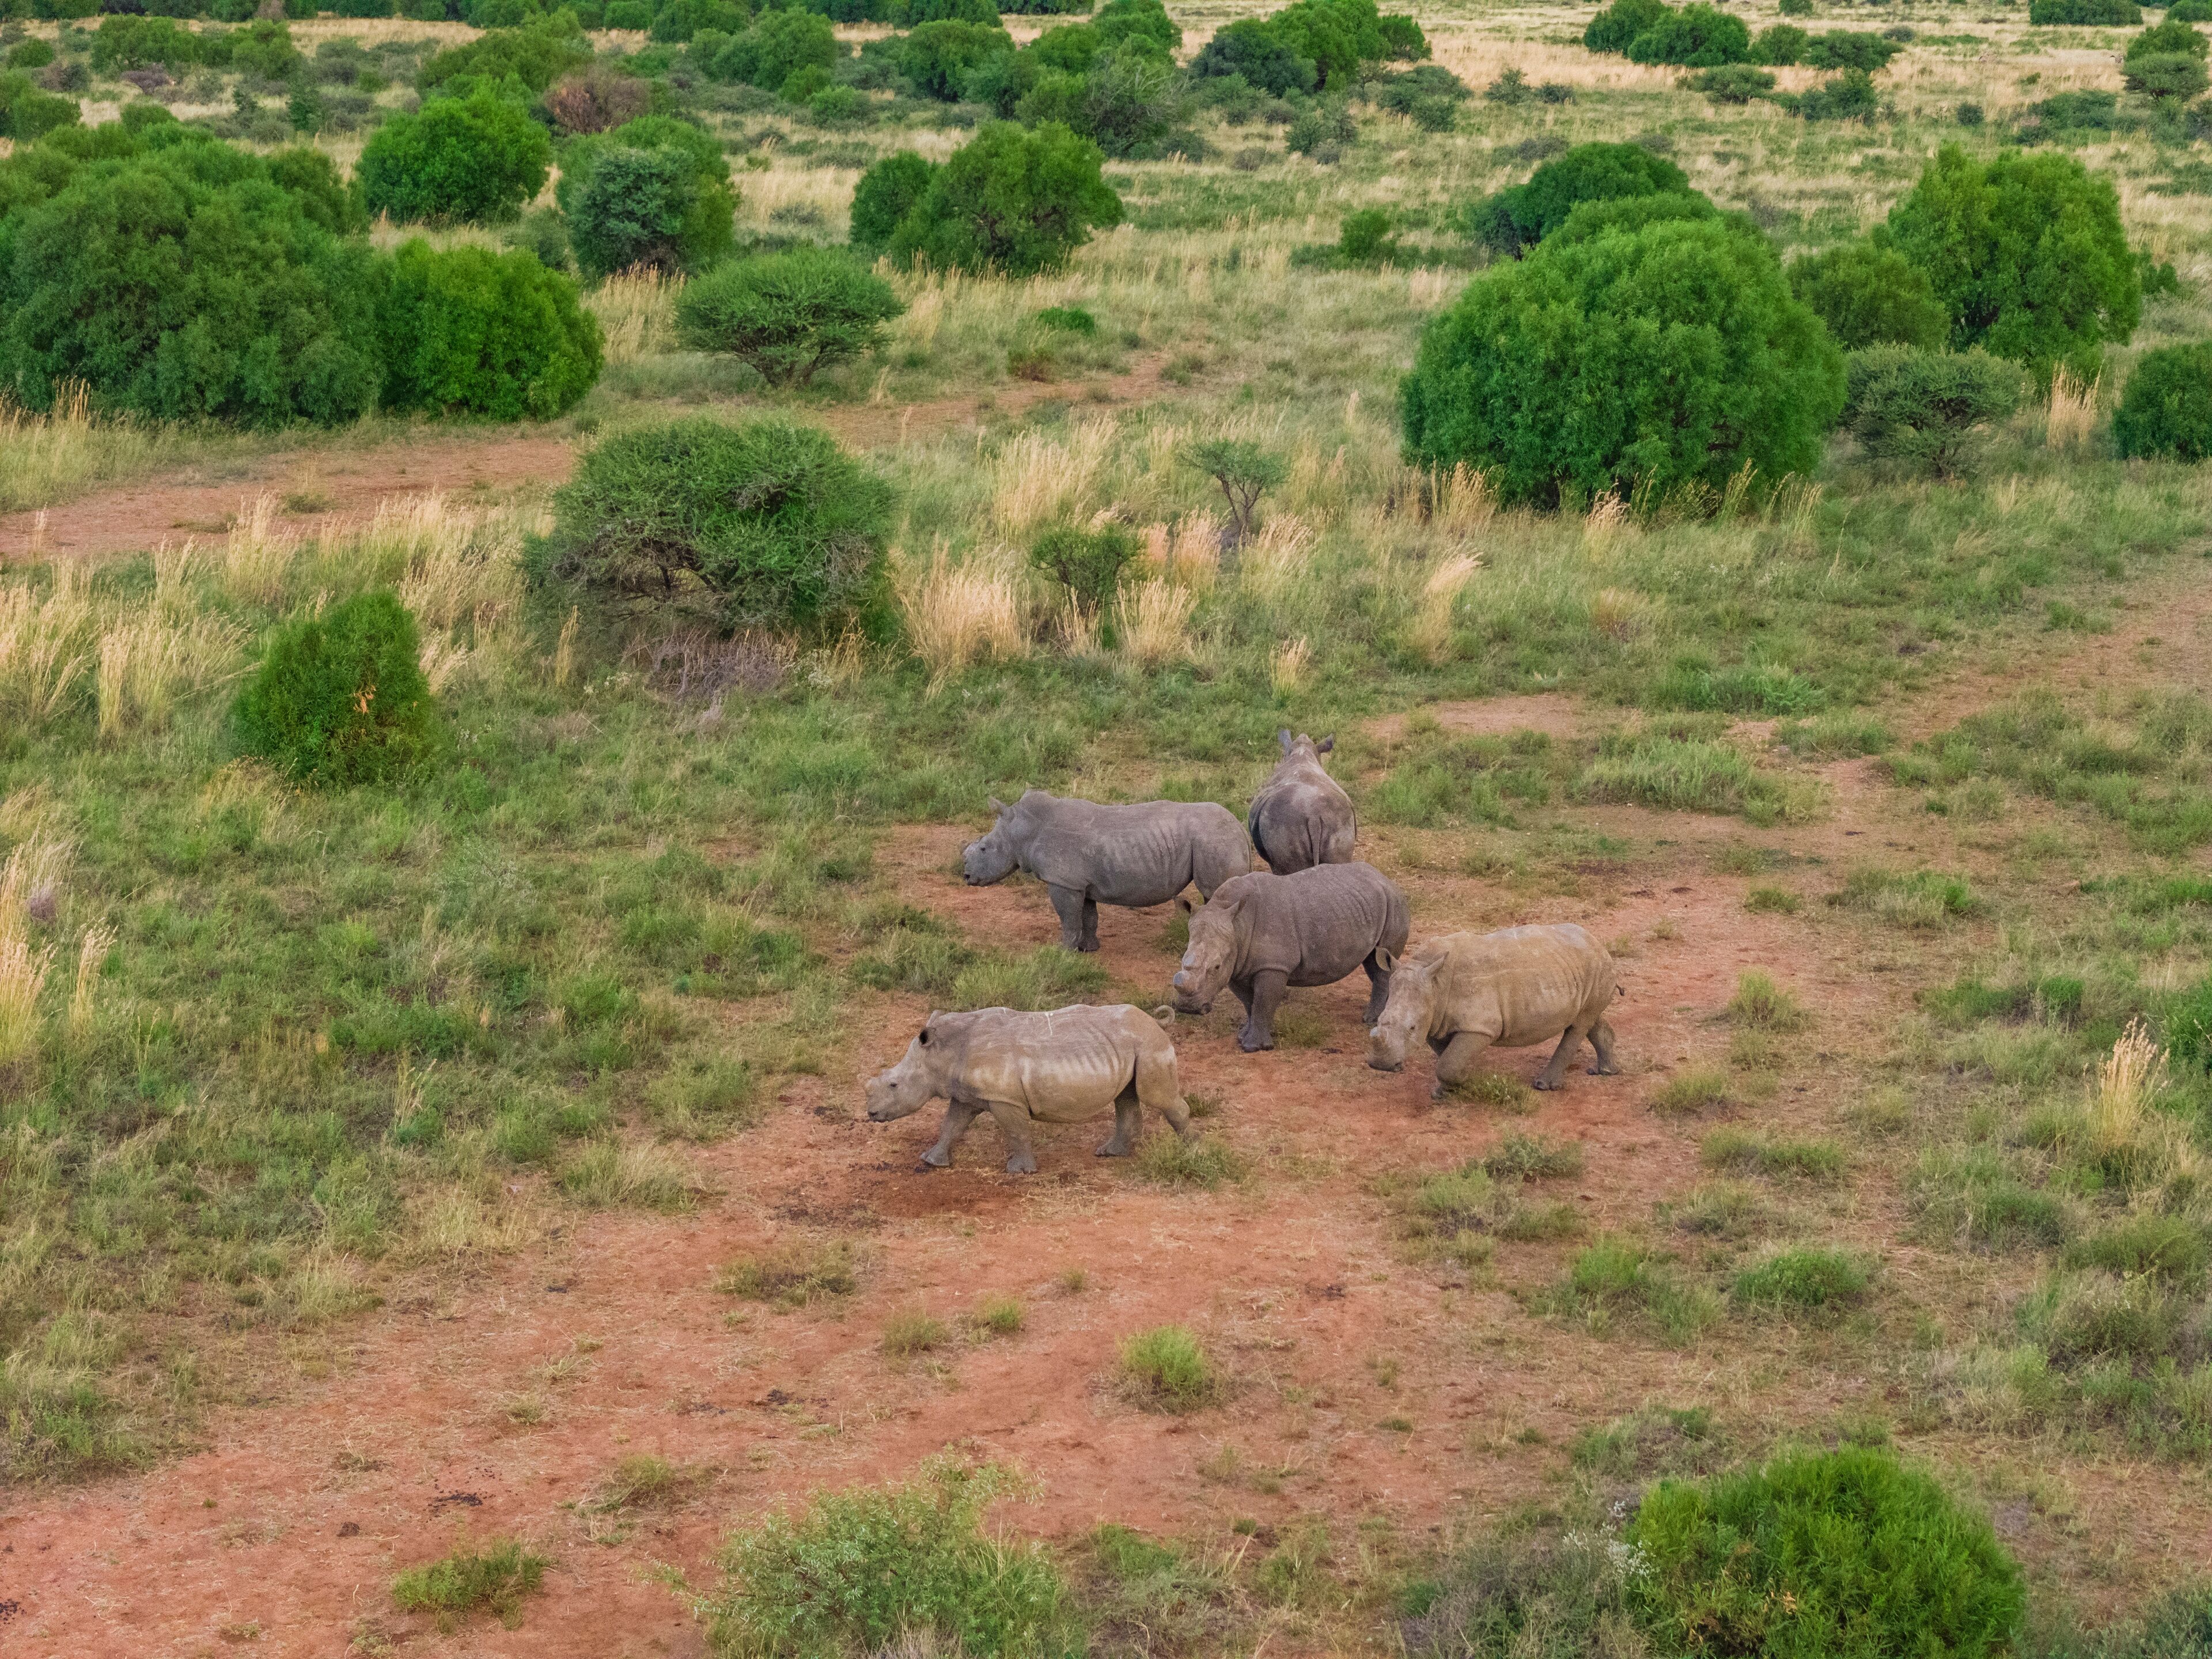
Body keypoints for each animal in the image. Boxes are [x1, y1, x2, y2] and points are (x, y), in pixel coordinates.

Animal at [864, 1003, 1194, 1174]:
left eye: (894, 1084)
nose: (871, 1113)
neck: (943, 1050)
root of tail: (1154, 1020)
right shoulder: (967, 1095)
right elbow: (951, 1126)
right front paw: (931, 1161)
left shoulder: (1004, 1099)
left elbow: (1016, 1131)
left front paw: (1020, 1171)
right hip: (1128, 1045)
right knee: (1125, 1097)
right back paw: (1110, 1154)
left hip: (1149, 1044)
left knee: (1158, 1098)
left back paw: (1192, 1150)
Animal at [961, 789, 1252, 952]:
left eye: (984, 849)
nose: (965, 876)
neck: (1023, 829)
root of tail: (1240, 828)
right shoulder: (1080, 882)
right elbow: (1088, 917)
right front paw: (1088, 949)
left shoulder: (1063, 881)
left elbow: (1068, 919)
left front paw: (1061, 952)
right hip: (1216, 837)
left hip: (1214, 838)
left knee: (1215, 891)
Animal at [1170, 861, 1410, 1052]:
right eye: (1182, 961)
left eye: (1217, 967)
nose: (1188, 1008)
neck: (1237, 925)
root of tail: (1385, 878)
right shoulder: (1238, 964)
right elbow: (1249, 1003)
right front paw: (1243, 1036)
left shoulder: (1273, 965)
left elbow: (1263, 1002)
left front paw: (1254, 1047)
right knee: (1374, 961)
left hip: (1394, 903)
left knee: (1381, 961)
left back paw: (1371, 1021)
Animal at [1367, 924, 1622, 1099]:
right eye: (1379, 1020)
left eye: (1412, 1028)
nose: (1380, 1065)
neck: (1435, 984)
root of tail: (1599, 944)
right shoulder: (1436, 1022)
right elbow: (1446, 1057)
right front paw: (1450, 1089)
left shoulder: (1480, 1027)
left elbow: (1448, 1063)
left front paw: (1462, 1082)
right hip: (1579, 970)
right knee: (1588, 1019)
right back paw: (1606, 1071)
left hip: (1597, 966)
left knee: (1579, 1026)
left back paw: (1544, 1086)